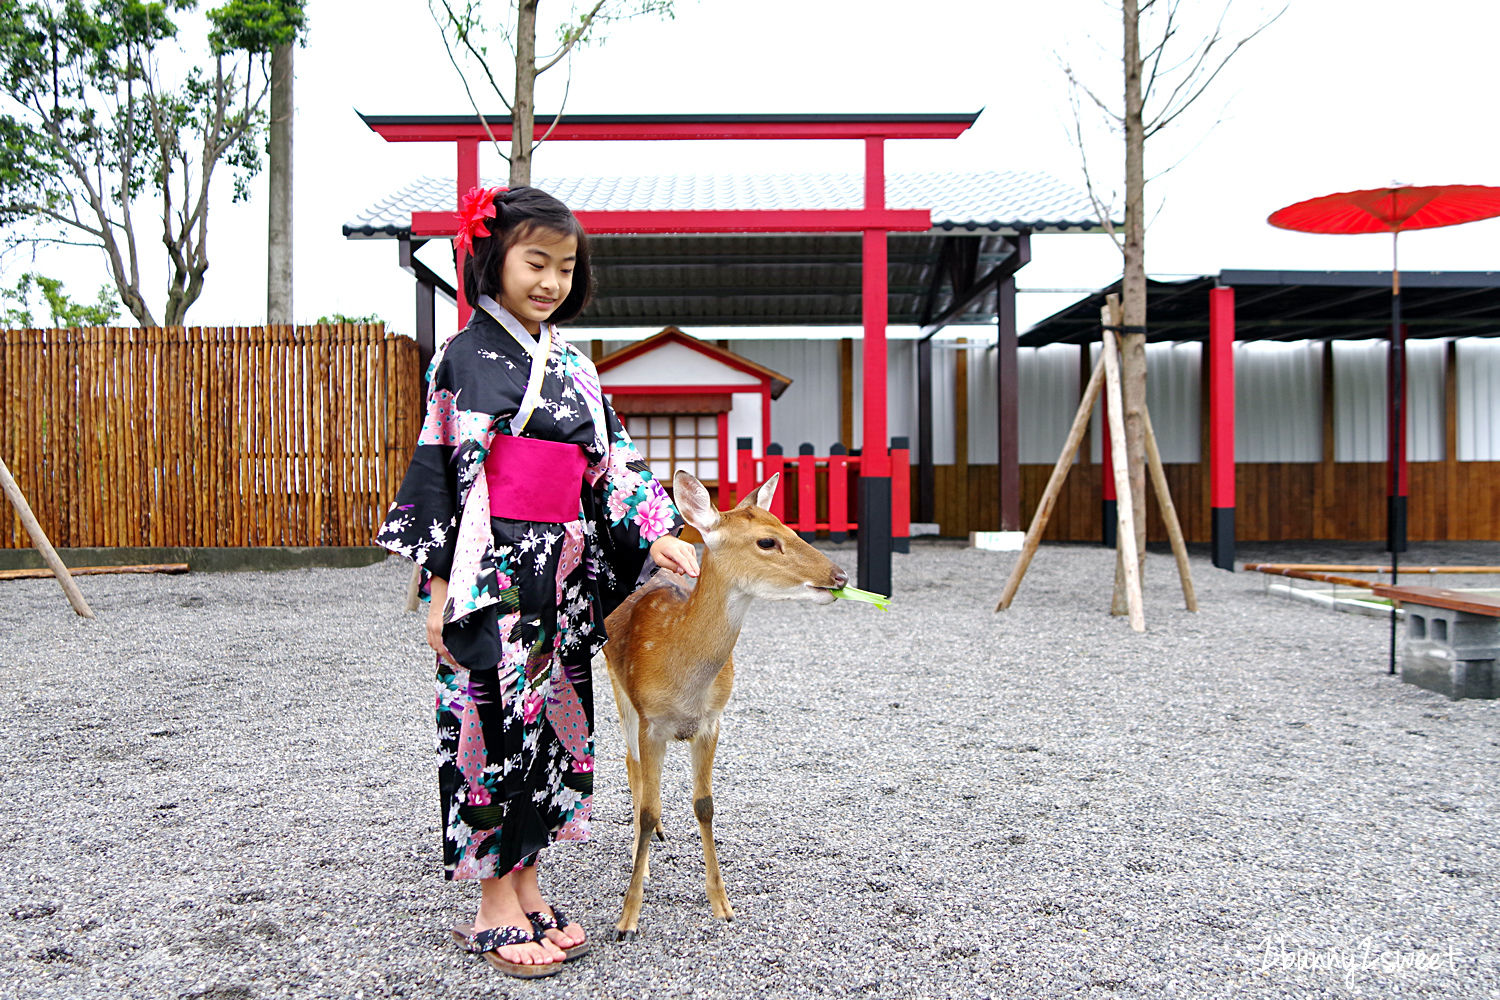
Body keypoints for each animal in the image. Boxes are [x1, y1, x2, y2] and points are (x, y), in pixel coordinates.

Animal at [600, 470, 858, 941]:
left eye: (791, 528)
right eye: (766, 542)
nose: (841, 576)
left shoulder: (712, 721)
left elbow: (705, 805)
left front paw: (722, 904)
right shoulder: (651, 720)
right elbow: (645, 809)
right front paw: (627, 918)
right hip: (617, 685)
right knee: (630, 764)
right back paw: (640, 858)